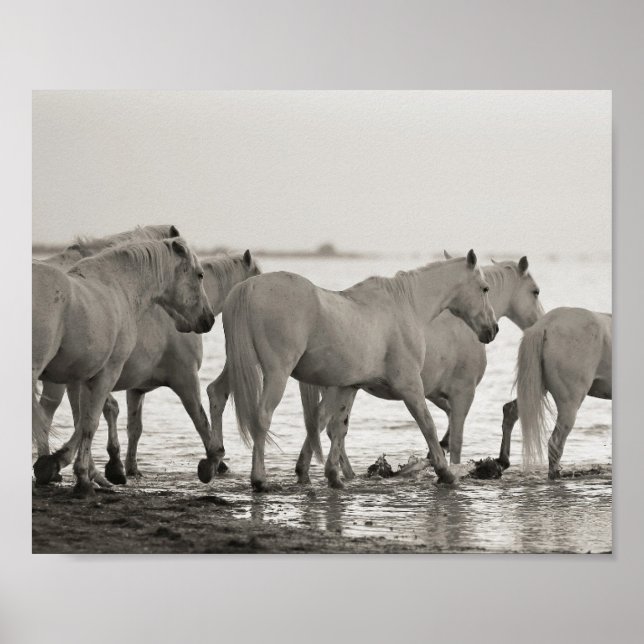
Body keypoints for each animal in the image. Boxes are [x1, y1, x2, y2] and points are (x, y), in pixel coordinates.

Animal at [33, 250, 259, 487]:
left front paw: (126, 467)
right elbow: (200, 420)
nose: (206, 321)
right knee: (49, 414)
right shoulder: (185, 378)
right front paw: (213, 461)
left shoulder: (135, 388)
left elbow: (133, 427)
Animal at [209, 250, 498, 491]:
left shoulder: (349, 385)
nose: (492, 329)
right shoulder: (409, 386)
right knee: (262, 416)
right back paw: (259, 479)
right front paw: (445, 472)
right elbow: (427, 425)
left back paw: (211, 461)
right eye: (484, 288)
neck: (406, 306)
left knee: (216, 393)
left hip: (237, 364)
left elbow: (337, 426)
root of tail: (249, 286)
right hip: (276, 372)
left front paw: (331, 476)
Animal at [294, 254, 544, 484]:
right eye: (535, 291)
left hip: (343, 387)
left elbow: (446, 429)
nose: (540, 321)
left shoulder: (434, 394)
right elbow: (455, 440)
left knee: (322, 424)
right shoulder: (461, 393)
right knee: (327, 426)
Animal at [495, 307, 611, 479]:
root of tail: (544, 325)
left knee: (510, 411)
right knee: (555, 443)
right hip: (569, 405)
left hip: (536, 390)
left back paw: (503, 461)